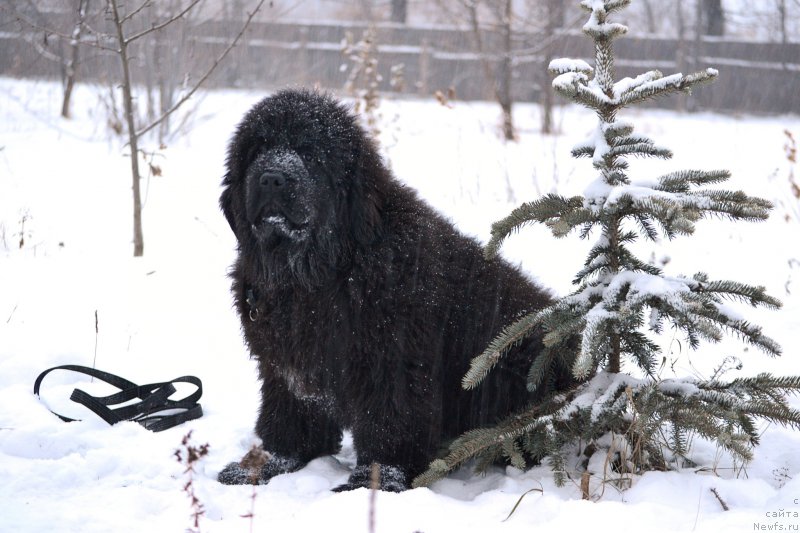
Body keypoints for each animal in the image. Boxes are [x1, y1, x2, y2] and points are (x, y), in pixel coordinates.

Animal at [217, 88, 568, 490]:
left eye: (308, 151)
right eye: (258, 148)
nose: (272, 178)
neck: (319, 274)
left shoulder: (391, 357)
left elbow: (389, 419)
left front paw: (375, 480)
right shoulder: (286, 364)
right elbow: (291, 416)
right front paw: (266, 463)